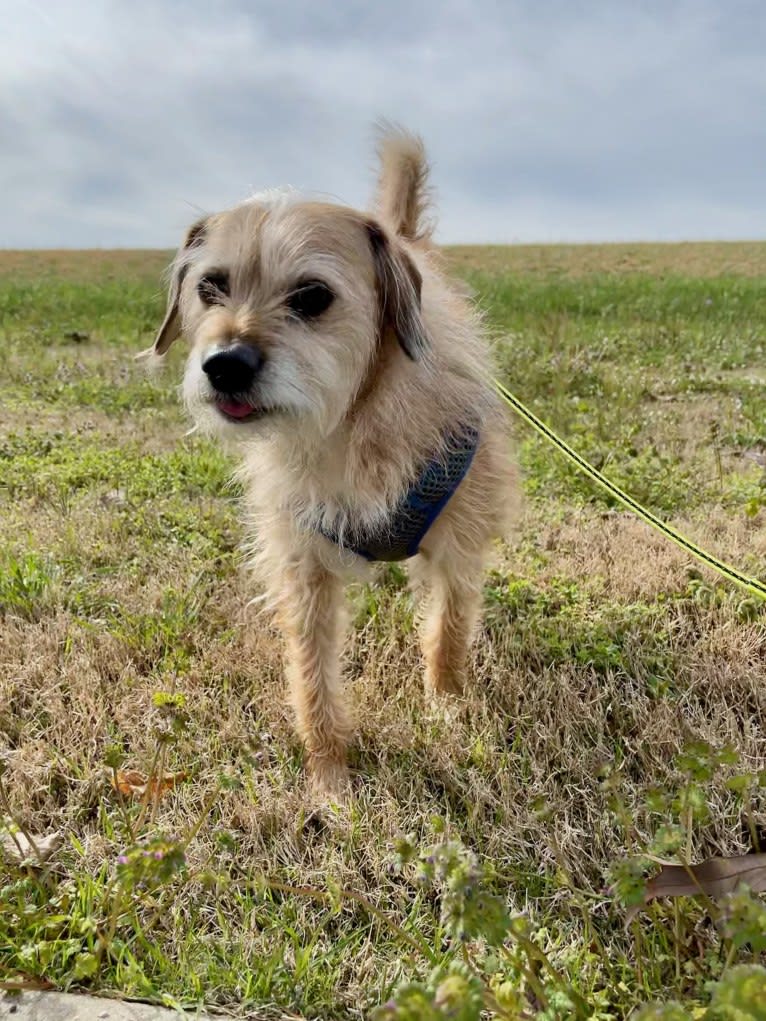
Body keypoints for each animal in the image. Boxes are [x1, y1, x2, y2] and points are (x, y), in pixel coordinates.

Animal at [142, 127, 516, 792]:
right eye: (211, 287)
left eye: (312, 296)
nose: (225, 364)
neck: (352, 421)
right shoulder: (303, 567)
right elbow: (311, 671)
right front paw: (328, 773)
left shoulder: (458, 546)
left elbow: (448, 632)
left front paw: (447, 709)